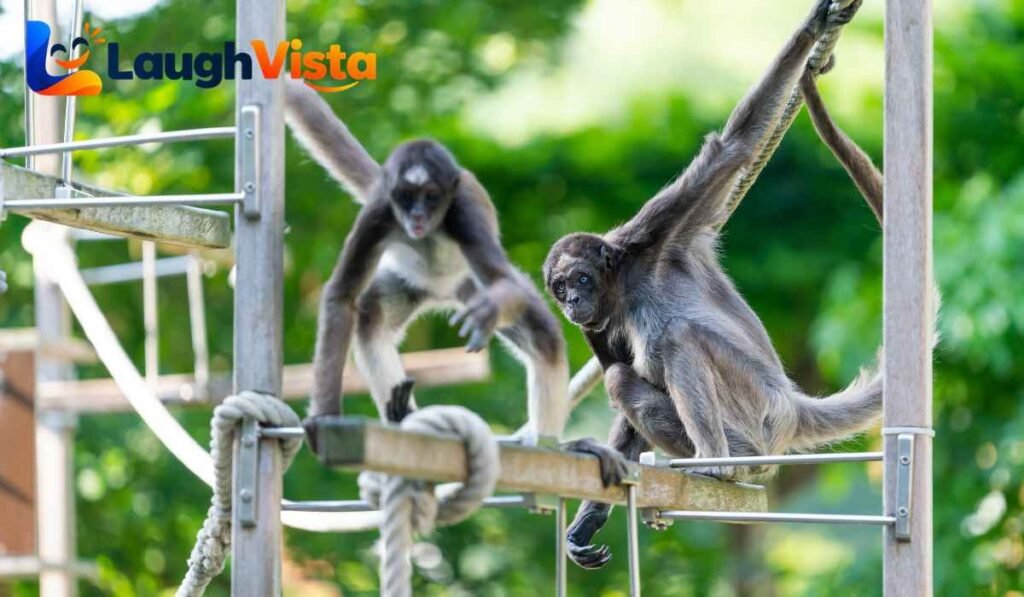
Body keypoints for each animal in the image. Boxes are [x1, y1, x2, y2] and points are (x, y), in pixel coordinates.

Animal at [286, 82, 626, 480]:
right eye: (407, 197)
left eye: (431, 197)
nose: (417, 215)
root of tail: (442, 291)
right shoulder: (380, 212)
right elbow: (342, 296)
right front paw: (323, 416)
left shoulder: (462, 210)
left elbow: (505, 284)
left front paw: (488, 312)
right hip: (410, 282)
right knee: (370, 319)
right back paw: (400, 416)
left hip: (468, 283)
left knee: (543, 337)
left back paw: (553, 446)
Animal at [540, 0, 876, 569]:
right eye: (561, 289)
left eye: (580, 278)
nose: (574, 301)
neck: (625, 286)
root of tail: (791, 404)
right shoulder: (595, 325)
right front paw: (587, 521)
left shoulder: (651, 235)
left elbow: (731, 148)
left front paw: (812, 26)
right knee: (623, 377)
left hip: (757, 416)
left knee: (678, 340)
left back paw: (717, 465)